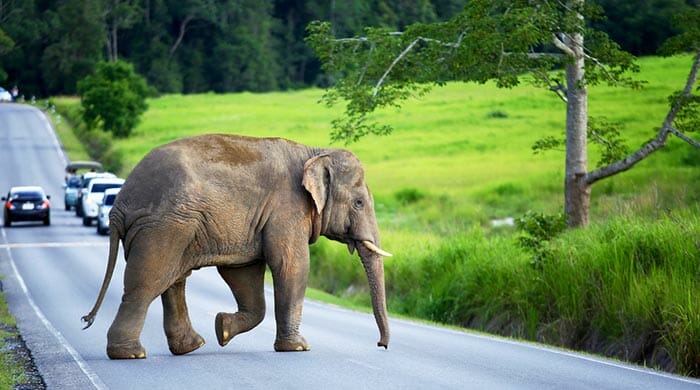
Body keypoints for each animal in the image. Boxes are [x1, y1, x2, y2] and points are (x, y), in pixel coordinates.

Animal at [80, 133, 394, 360]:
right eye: (359, 202)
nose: (381, 345)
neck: (314, 152)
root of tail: (119, 205)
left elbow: (243, 274)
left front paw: (222, 328)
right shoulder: (287, 208)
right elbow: (291, 265)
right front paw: (298, 348)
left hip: (174, 225)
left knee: (173, 279)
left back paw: (192, 346)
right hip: (163, 225)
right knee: (148, 281)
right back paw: (131, 355)